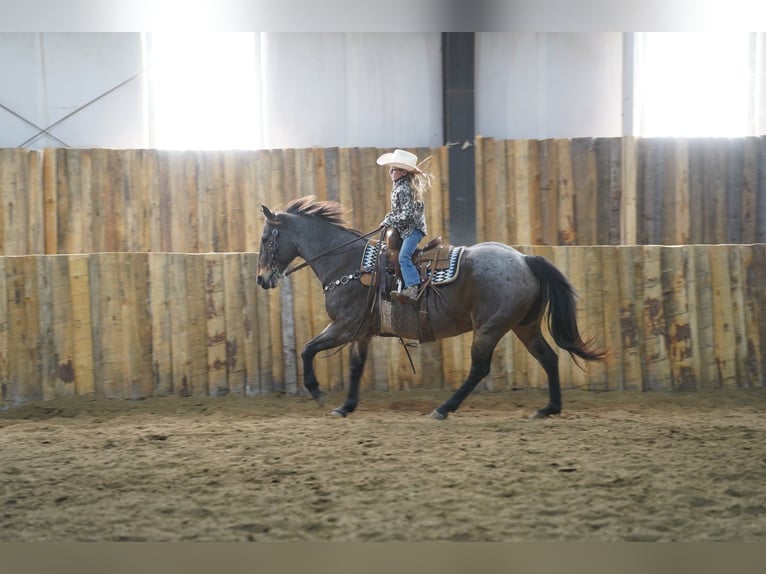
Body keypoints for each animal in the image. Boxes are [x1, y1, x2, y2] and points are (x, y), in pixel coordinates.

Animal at [256, 196, 605, 420]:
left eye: (264, 238)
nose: (262, 279)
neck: (348, 263)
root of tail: (524, 258)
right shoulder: (360, 332)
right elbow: (355, 367)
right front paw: (346, 406)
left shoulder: (343, 326)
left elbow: (307, 349)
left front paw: (316, 392)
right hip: (524, 326)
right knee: (548, 358)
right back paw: (549, 409)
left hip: (489, 328)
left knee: (479, 369)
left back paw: (443, 409)